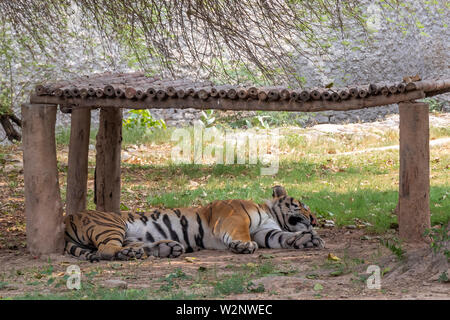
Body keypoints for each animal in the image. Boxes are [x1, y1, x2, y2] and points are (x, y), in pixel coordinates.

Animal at [64, 186, 324, 262]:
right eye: (302, 205)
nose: (313, 219)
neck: (271, 213)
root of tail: (67, 218)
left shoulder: (265, 232)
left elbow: (283, 237)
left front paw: (309, 240)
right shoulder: (235, 217)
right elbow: (242, 234)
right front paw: (243, 246)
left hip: (127, 235)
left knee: (125, 247)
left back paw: (164, 248)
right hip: (112, 225)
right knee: (105, 249)